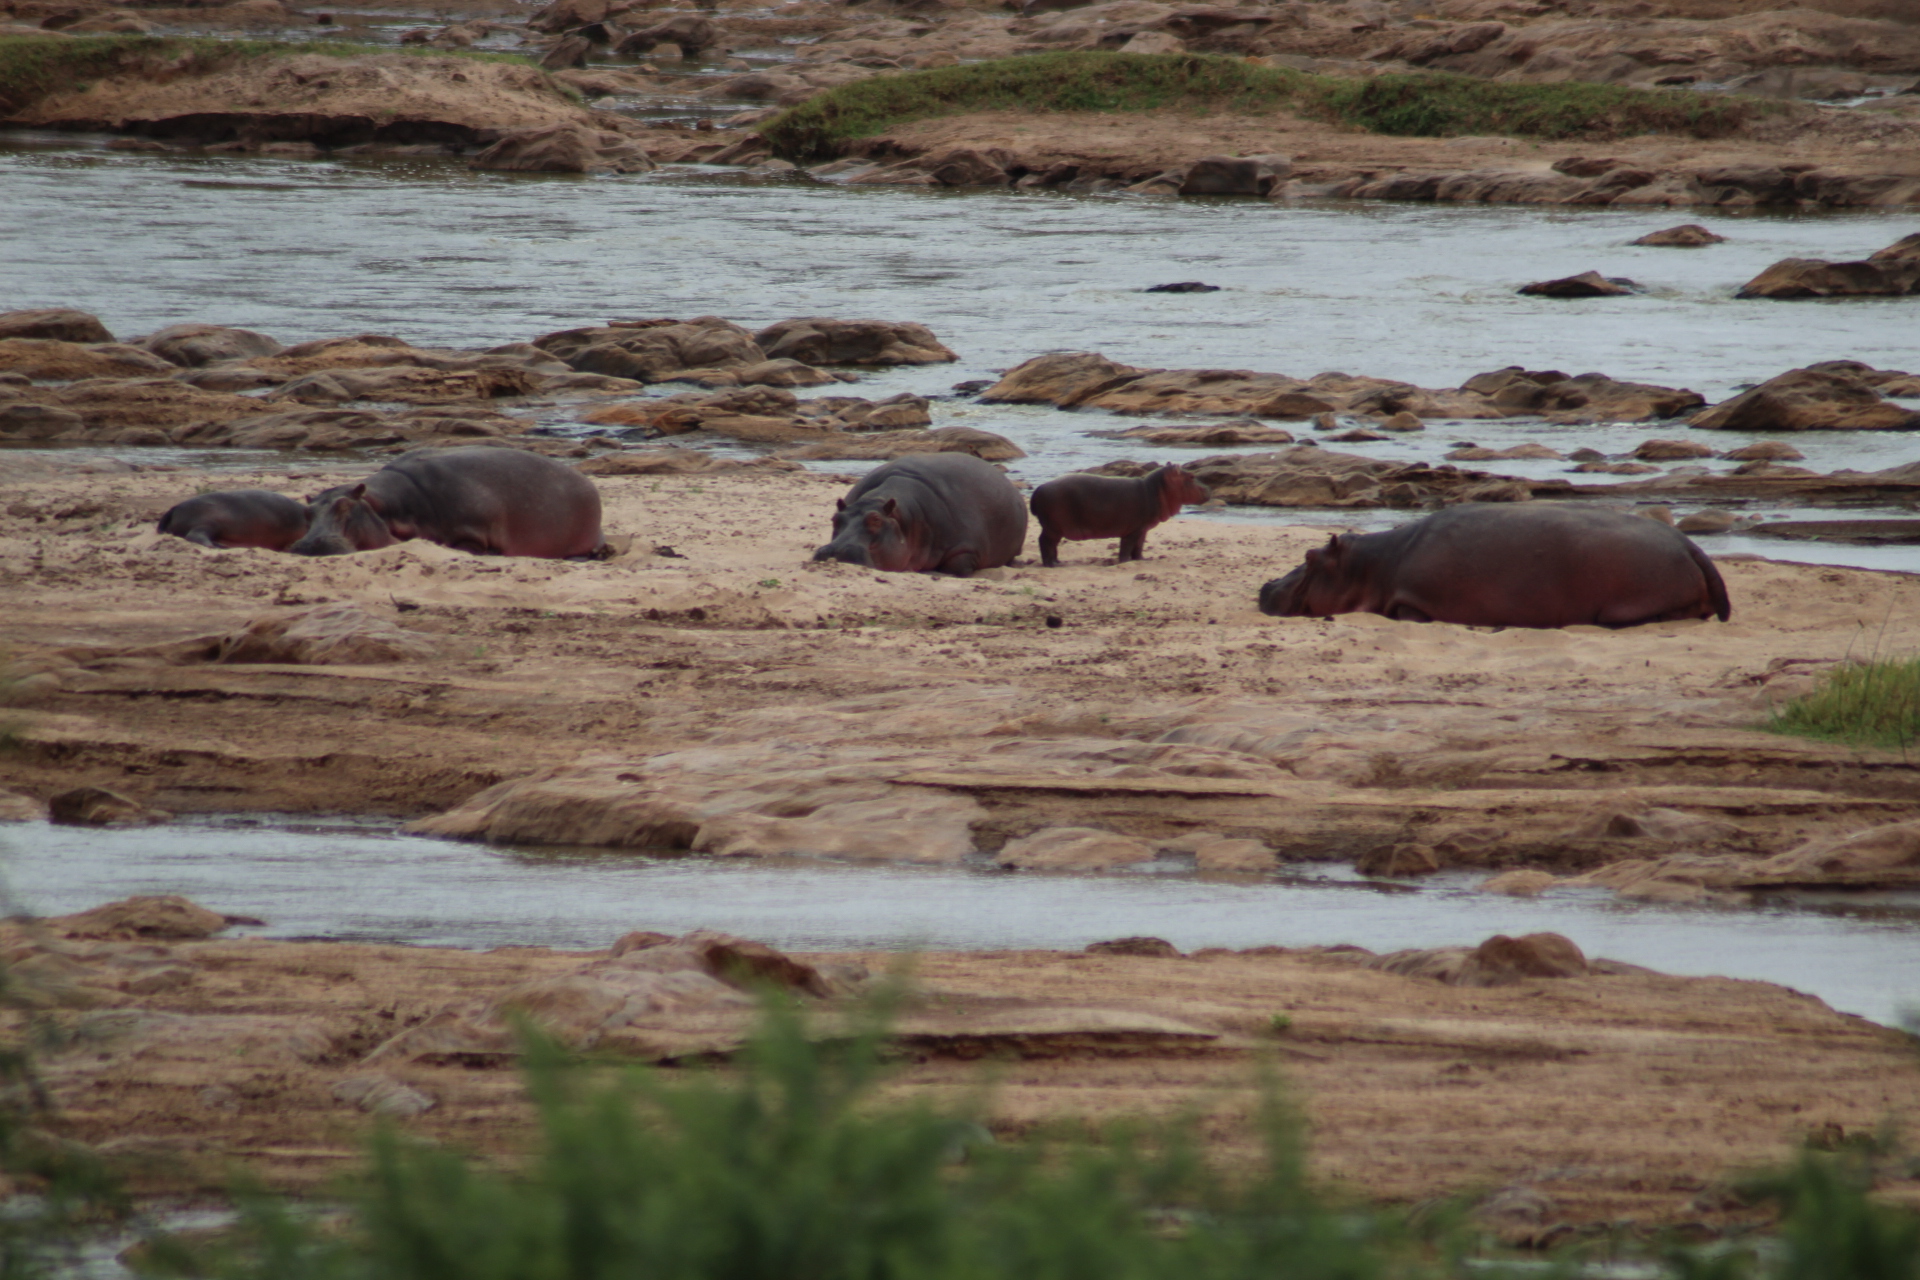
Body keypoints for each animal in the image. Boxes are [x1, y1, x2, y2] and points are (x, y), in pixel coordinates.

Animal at [290, 446, 605, 559]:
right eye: (307, 512)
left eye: (345, 506)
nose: (308, 545)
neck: (385, 508)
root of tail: (587, 482)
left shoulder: (473, 533)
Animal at [1029, 463, 1210, 568]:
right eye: (1191, 476)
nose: (1207, 489)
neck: (1155, 488)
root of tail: (1038, 488)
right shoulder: (1133, 530)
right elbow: (1127, 546)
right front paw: (1125, 562)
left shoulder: (1142, 529)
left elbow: (1139, 546)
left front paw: (1141, 560)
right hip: (1053, 528)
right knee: (1044, 542)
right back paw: (1051, 565)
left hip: (1054, 528)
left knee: (1051, 545)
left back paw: (1058, 562)